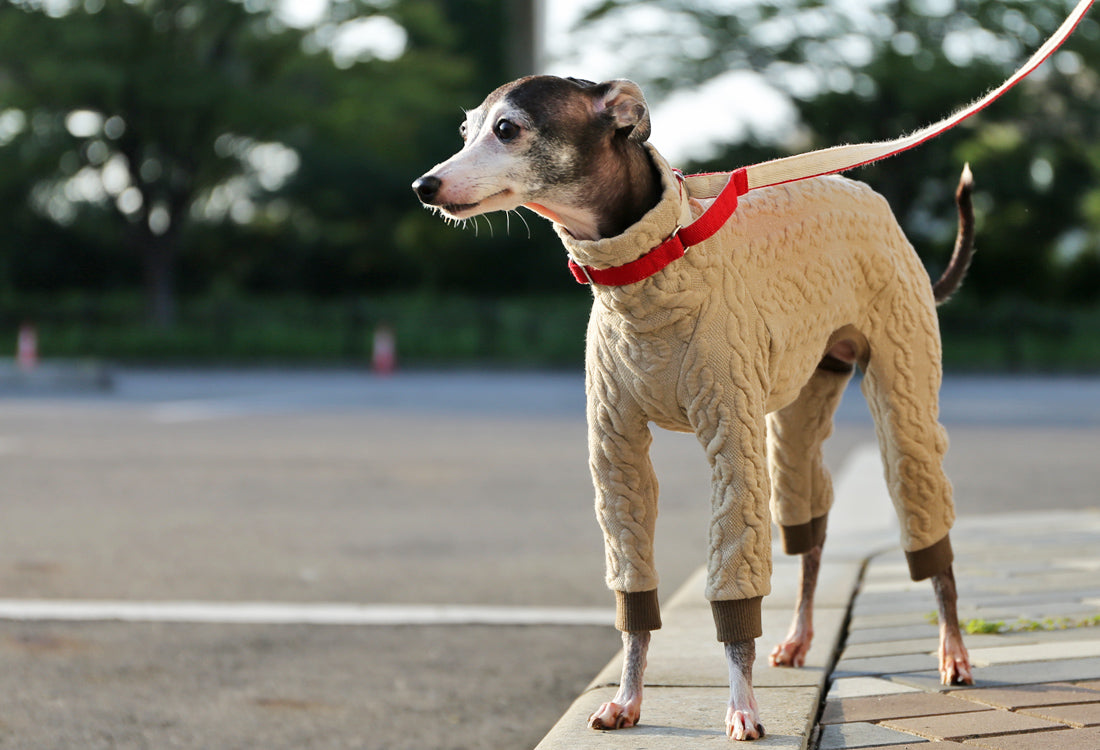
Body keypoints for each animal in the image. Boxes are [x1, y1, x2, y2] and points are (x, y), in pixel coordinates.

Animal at [413, 74, 972, 734]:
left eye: (507, 128)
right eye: (465, 130)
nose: (424, 186)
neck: (649, 265)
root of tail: (867, 195)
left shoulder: (732, 439)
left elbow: (733, 579)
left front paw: (742, 707)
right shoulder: (616, 452)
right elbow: (633, 588)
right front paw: (627, 700)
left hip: (901, 379)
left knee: (921, 501)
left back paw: (953, 650)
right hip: (800, 404)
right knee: (808, 525)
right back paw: (798, 638)